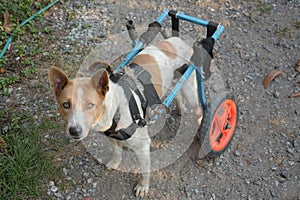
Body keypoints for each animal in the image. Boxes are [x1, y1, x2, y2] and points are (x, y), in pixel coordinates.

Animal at [49, 36, 202, 196]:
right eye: (66, 105)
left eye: (90, 105)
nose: (74, 131)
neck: (114, 108)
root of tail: (176, 40)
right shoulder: (112, 137)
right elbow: (117, 151)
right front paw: (115, 162)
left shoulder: (143, 146)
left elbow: (144, 171)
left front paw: (143, 187)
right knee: (178, 97)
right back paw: (179, 109)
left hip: (190, 91)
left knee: (199, 113)